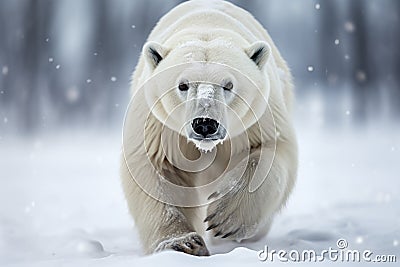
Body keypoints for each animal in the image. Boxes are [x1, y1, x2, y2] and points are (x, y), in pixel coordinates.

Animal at [121, 0, 296, 258]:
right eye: (183, 85)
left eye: (229, 85)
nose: (205, 123)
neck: (206, 25)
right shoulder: (158, 125)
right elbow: (156, 171)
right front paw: (183, 243)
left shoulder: (259, 116)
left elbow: (270, 153)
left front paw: (225, 217)